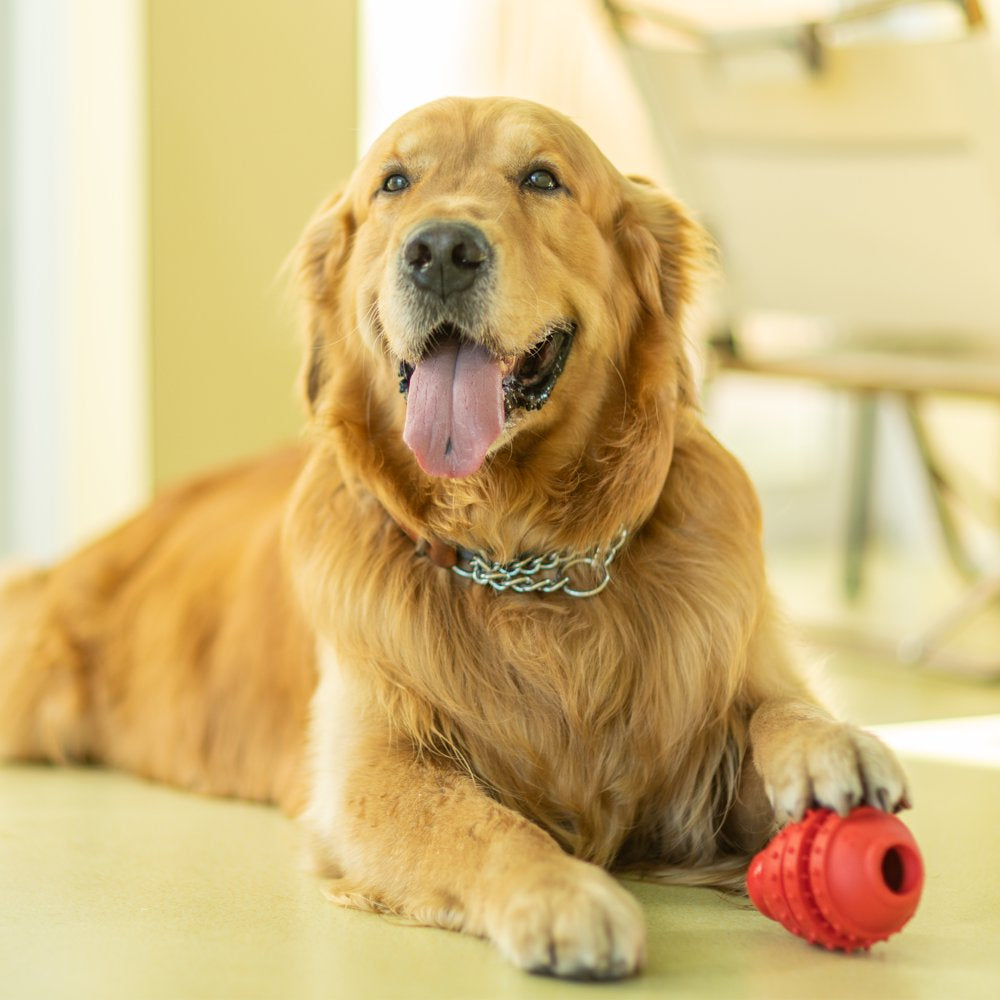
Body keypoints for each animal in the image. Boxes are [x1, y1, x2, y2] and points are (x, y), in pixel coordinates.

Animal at [0, 97, 908, 980]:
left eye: (542, 177)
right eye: (395, 182)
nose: (440, 250)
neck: (520, 554)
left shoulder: (710, 727)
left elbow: (776, 705)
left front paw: (833, 745)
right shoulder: (371, 768)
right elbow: (480, 820)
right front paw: (558, 894)